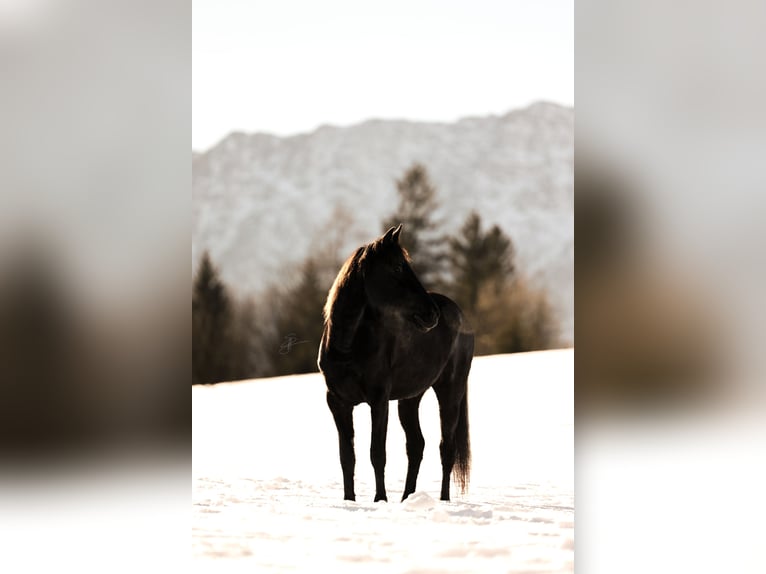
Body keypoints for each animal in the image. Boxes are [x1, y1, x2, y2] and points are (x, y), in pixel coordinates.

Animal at [318, 224, 474, 502]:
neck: (348, 345)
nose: (431, 314)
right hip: (410, 399)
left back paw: (444, 500)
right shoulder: (337, 402)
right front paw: (349, 500)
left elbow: (377, 453)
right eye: (398, 267)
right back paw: (407, 498)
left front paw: (380, 499)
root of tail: (458, 313)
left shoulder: (379, 400)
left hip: (450, 391)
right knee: (416, 445)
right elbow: (347, 456)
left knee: (447, 447)